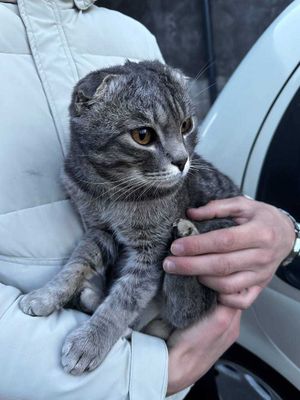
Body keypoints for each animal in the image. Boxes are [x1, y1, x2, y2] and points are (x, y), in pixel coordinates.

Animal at [18, 60, 240, 376]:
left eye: (186, 125)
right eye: (143, 135)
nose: (182, 160)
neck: (110, 191)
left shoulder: (150, 252)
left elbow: (123, 301)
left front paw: (90, 342)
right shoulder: (99, 231)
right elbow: (75, 265)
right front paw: (46, 295)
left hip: (216, 231)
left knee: (187, 307)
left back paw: (184, 235)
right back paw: (93, 298)